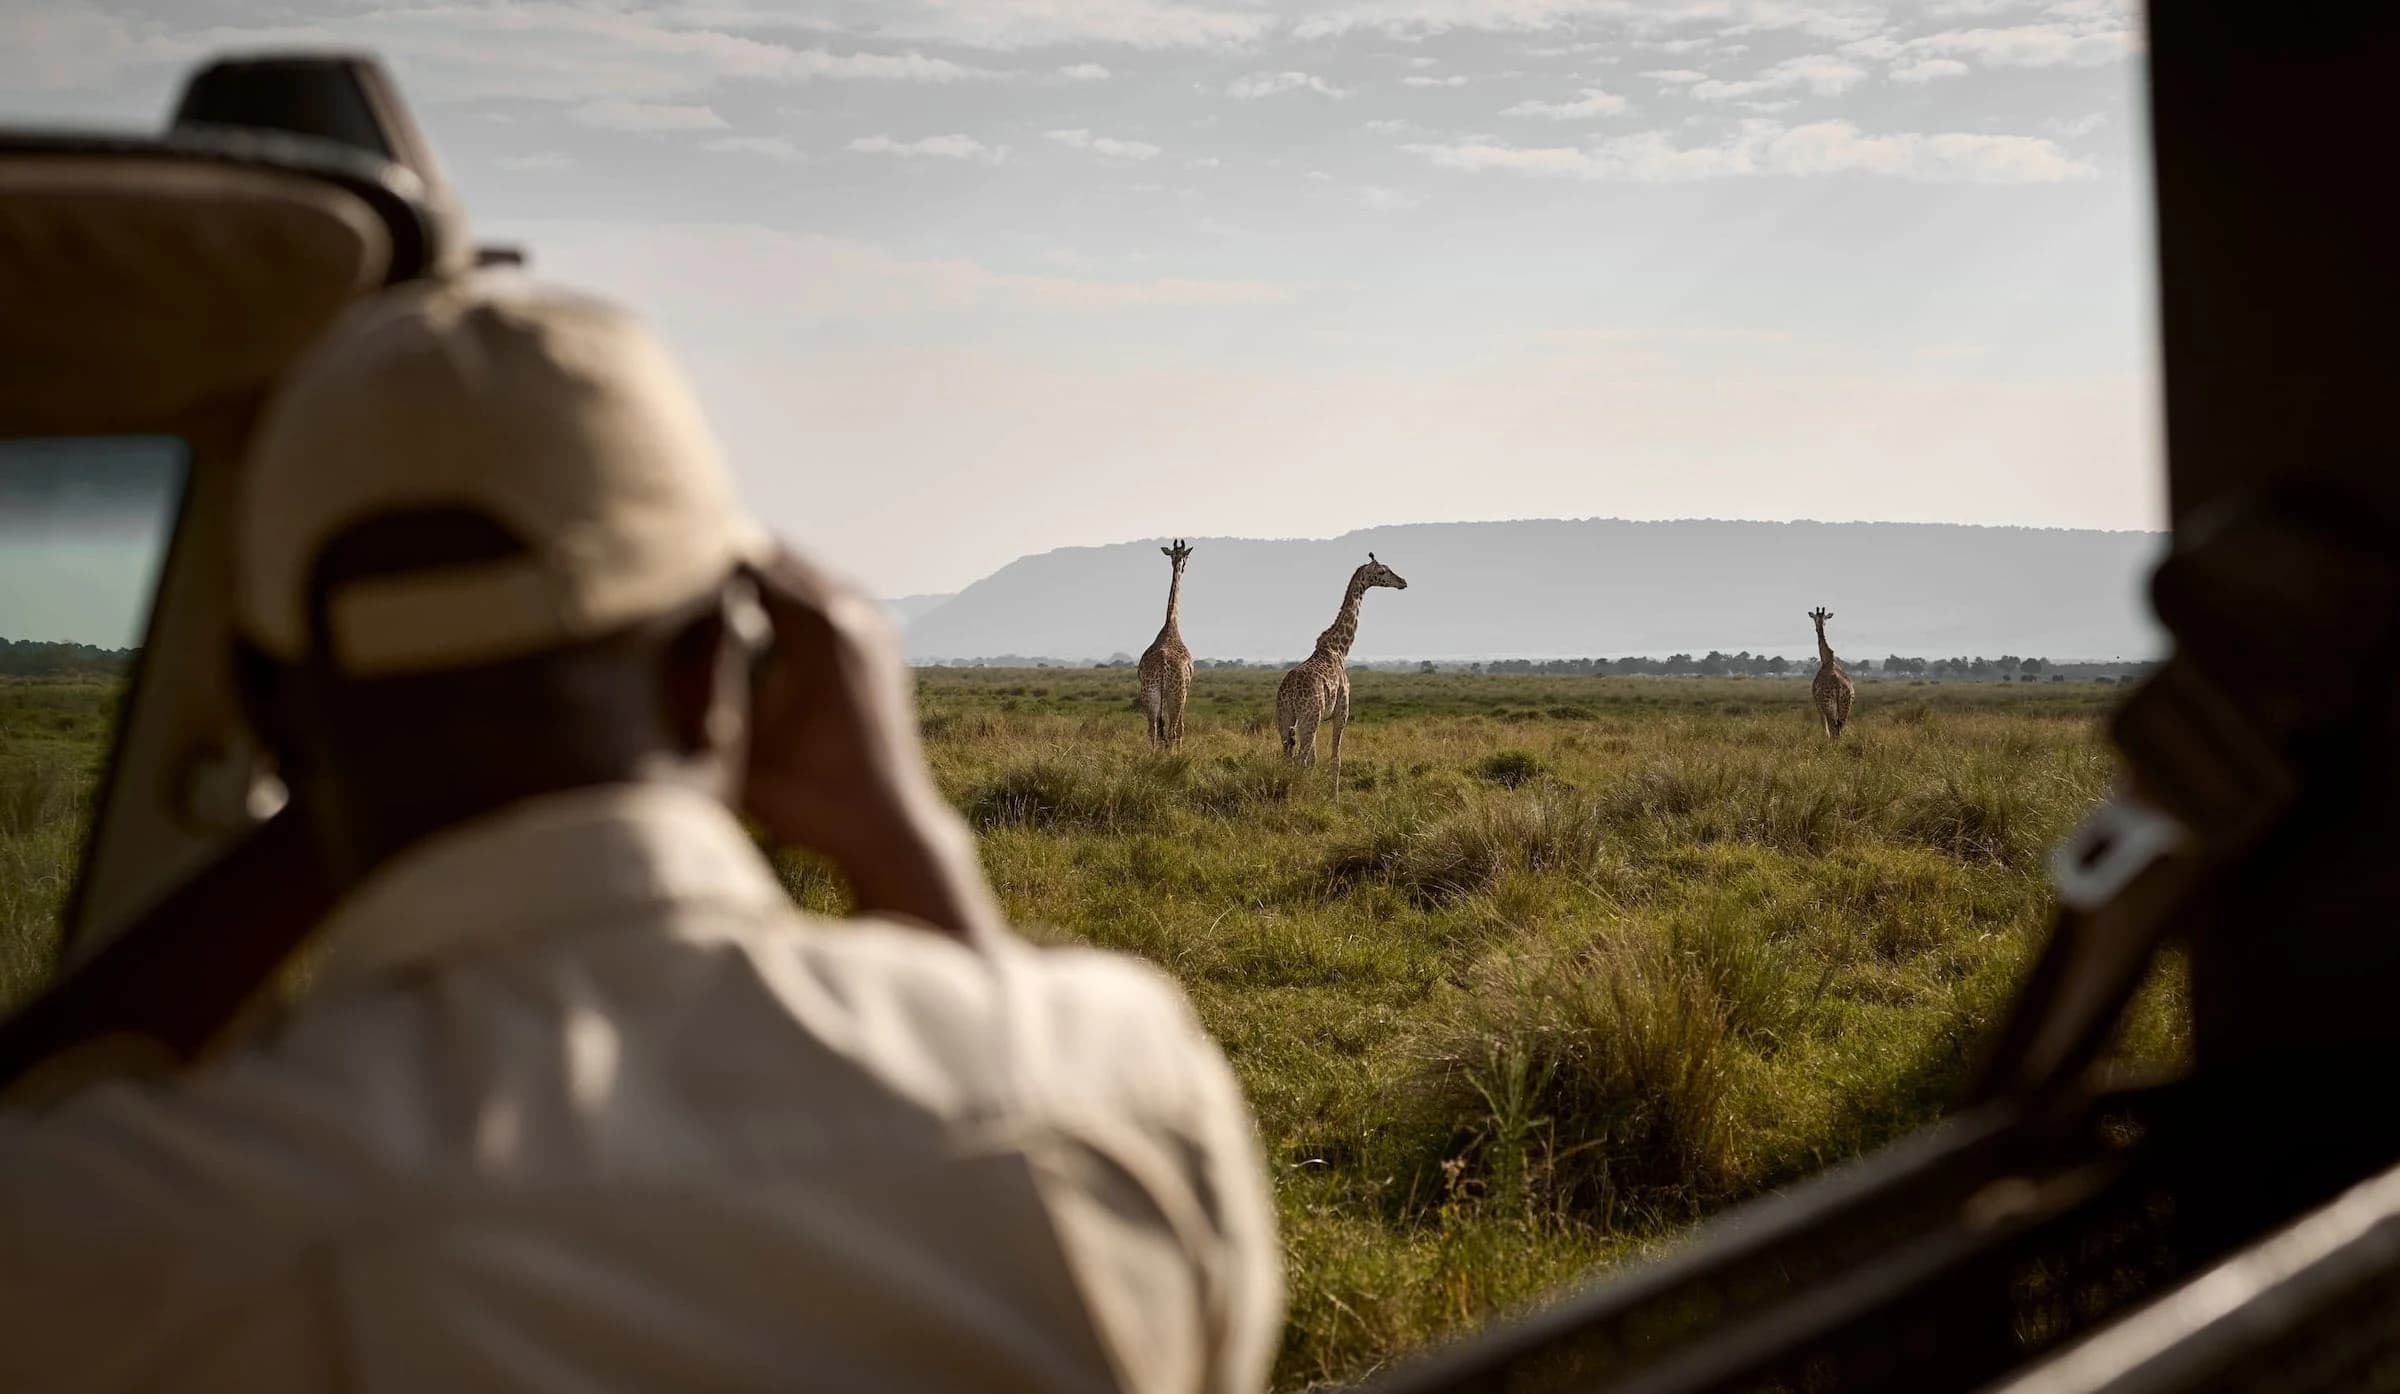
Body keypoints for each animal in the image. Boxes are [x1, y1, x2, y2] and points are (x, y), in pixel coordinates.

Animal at [1137, 539, 1194, 747]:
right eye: (1186, 557)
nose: (1182, 567)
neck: (1171, 624)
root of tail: (1163, 666)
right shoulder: (1186, 692)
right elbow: (1181, 729)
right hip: (1176, 695)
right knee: (1173, 730)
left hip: (1149, 694)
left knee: (1153, 729)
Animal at [1276, 553, 1408, 787]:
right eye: (1382, 571)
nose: (1403, 581)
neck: (1340, 648)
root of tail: (1288, 693)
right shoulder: (1342, 710)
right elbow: (1335, 759)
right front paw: (1331, 796)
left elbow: (1315, 761)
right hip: (1309, 718)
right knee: (1300, 758)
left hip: (1285, 718)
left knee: (1289, 758)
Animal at [1809, 606, 1855, 739]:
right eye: (1817, 618)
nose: (1818, 627)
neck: (1827, 660)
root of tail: (1838, 686)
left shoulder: (1818, 703)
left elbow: (1825, 729)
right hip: (1846, 706)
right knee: (1839, 729)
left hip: (1828, 705)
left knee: (1833, 728)